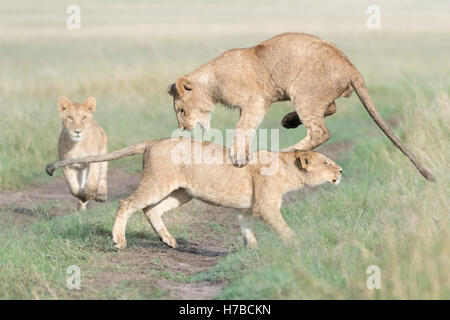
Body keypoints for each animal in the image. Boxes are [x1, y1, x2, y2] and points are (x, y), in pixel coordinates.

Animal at [44, 139, 342, 249]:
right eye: (327, 163)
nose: (340, 170)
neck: (287, 168)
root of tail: (153, 142)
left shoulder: (247, 209)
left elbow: (246, 229)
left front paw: (253, 251)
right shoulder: (265, 207)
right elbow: (284, 229)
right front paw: (300, 246)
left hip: (181, 193)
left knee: (151, 210)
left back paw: (168, 240)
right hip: (157, 183)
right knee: (127, 203)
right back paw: (119, 241)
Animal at [167, 33, 434, 182]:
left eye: (181, 111)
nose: (183, 128)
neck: (211, 81)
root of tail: (351, 66)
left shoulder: (255, 101)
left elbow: (242, 128)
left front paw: (238, 157)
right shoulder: (251, 106)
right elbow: (246, 129)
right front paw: (241, 154)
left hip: (303, 91)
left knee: (320, 131)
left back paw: (286, 150)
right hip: (315, 94)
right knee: (331, 108)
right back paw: (289, 120)